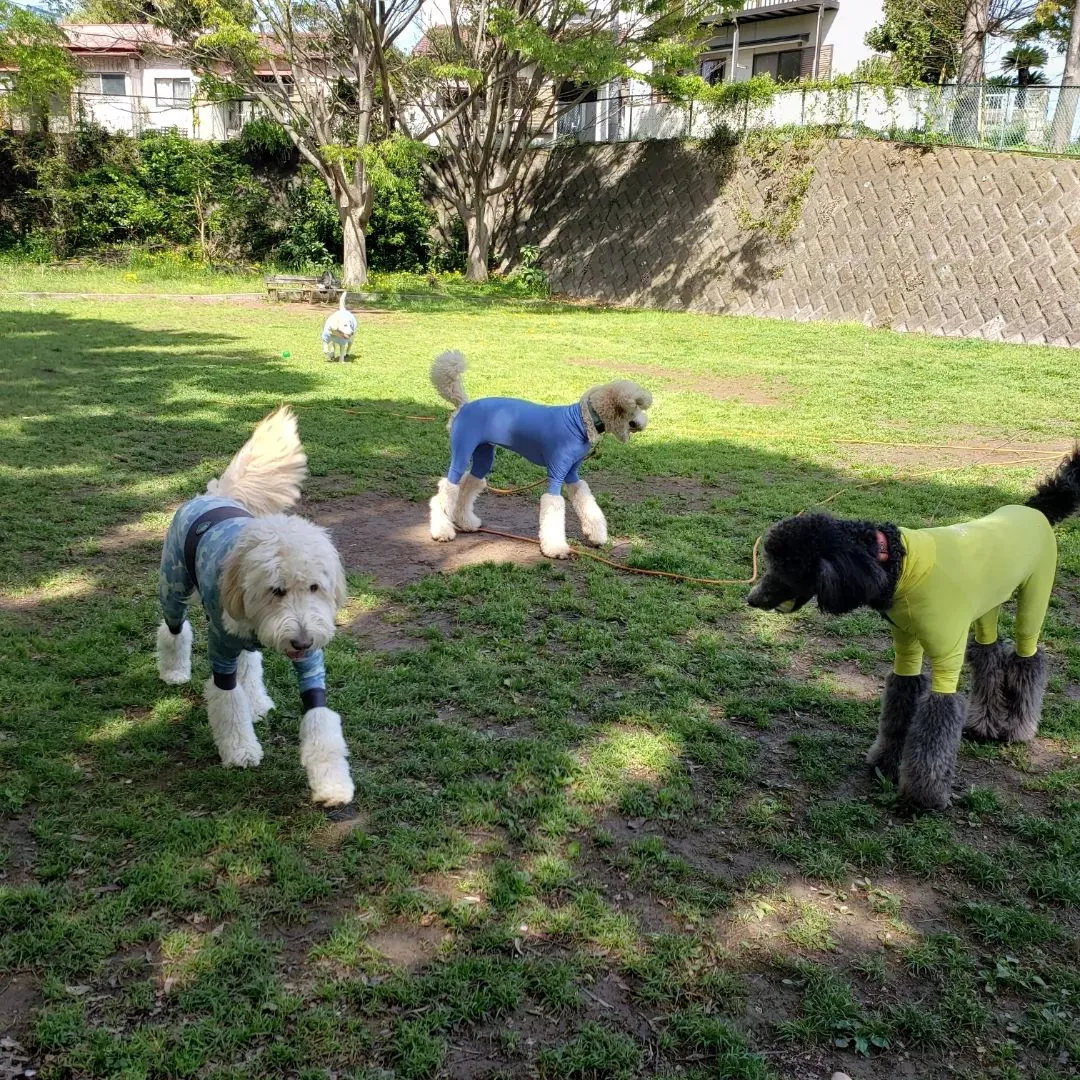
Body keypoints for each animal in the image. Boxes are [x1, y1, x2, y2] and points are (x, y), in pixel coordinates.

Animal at [156, 403, 354, 803]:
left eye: (315, 587)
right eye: (276, 590)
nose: (302, 640)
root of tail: (213, 494)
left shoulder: (311, 663)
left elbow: (320, 719)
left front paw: (332, 784)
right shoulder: (221, 650)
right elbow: (228, 703)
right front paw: (240, 751)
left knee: (250, 659)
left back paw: (257, 700)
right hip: (173, 587)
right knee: (174, 629)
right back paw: (173, 671)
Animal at [427, 354, 648, 557]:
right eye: (634, 407)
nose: (643, 423)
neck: (580, 422)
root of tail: (463, 404)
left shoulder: (572, 475)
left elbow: (586, 501)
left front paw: (597, 535)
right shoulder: (557, 472)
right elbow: (553, 507)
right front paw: (556, 547)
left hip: (484, 456)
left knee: (468, 485)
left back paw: (465, 522)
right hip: (462, 451)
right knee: (446, 490)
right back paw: (442, 531)